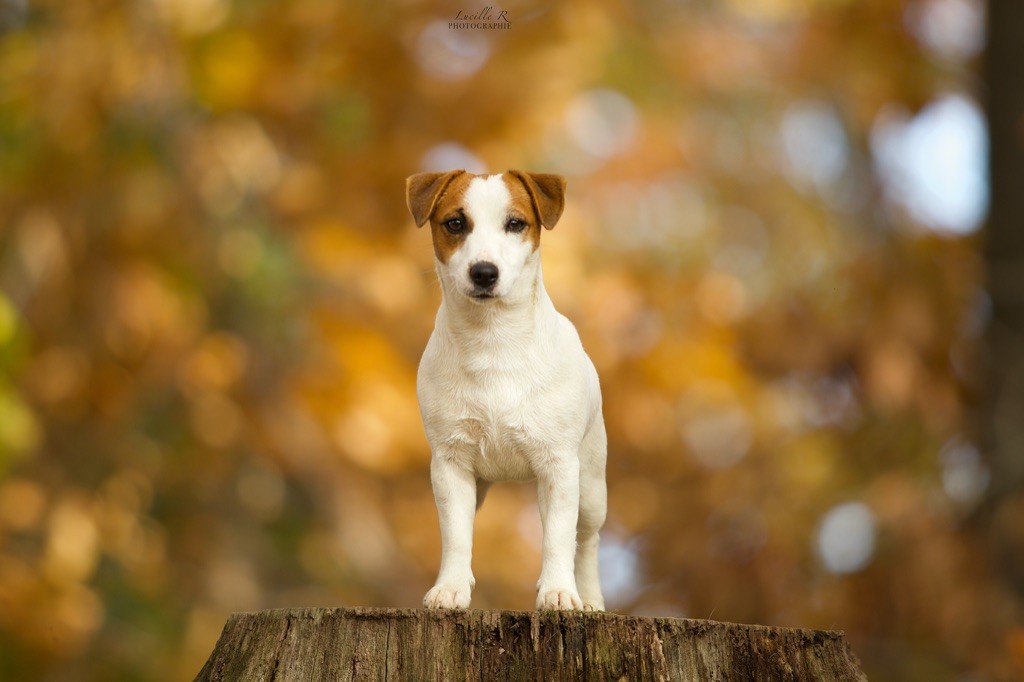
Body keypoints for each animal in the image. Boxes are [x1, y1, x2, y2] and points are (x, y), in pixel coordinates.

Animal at [401, 166, 606, 606]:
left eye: (515, 224)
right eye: (455, 223)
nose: (484, 271)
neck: (493, 340)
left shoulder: (559, 466)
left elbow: (558, 538)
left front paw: (558, 592)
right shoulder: (451, 465)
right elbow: (456, 536)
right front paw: (451, 588)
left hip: (591, 486)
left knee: (585, 541)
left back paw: (590, 600)